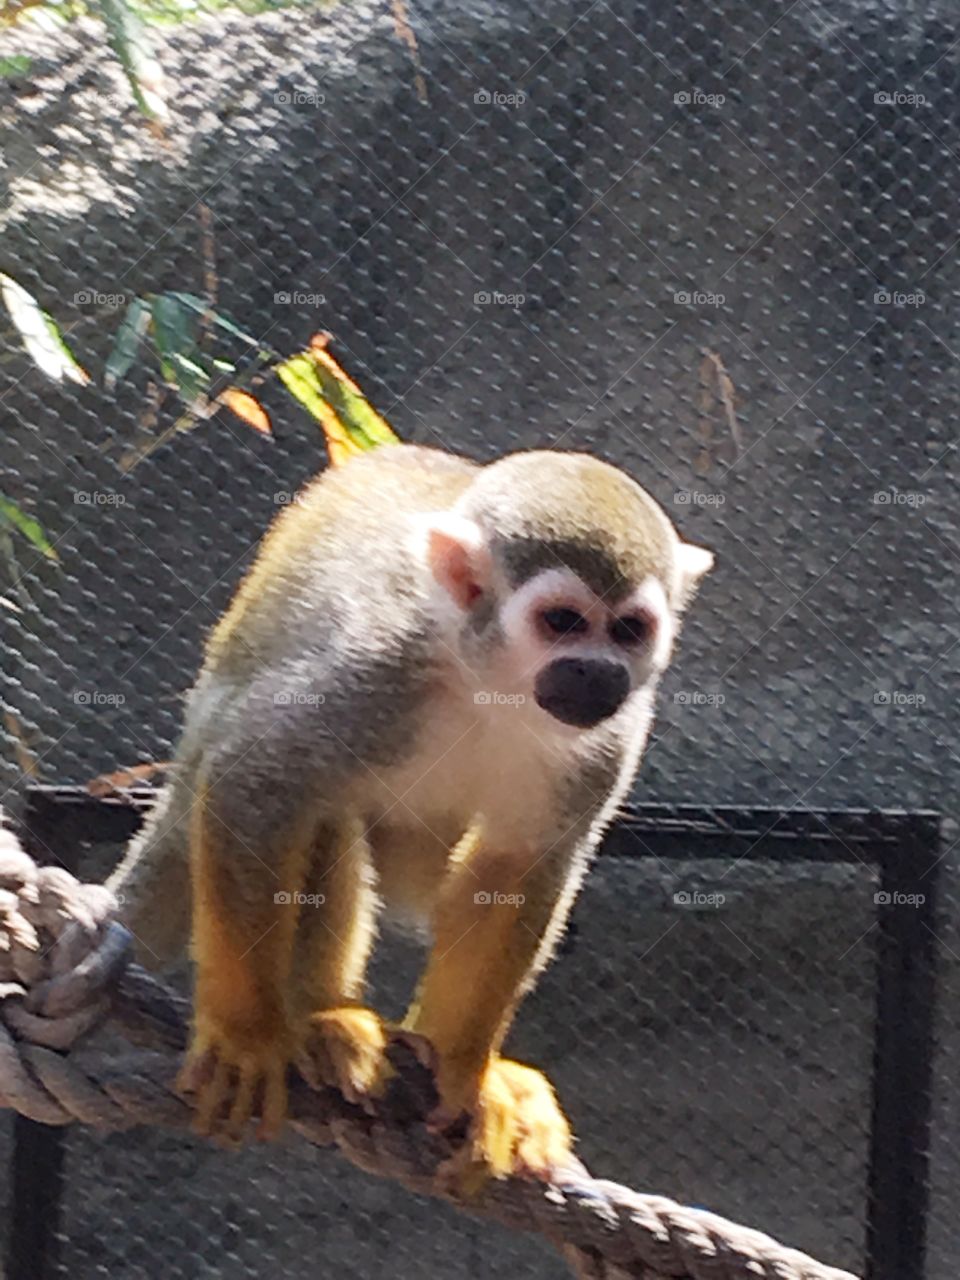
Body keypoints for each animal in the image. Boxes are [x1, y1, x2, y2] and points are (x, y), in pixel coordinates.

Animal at [108, 442, 713, 1183]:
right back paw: (320, 1016)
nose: (598, 673)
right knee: (309, 800)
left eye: (630, 630)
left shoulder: (613, 735)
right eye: (563, 622)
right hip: (200, 776)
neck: (492, 682)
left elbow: (519, 862)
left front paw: (465, 1072)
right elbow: (258, 778)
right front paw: (247, 1035)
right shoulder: (374, 667)